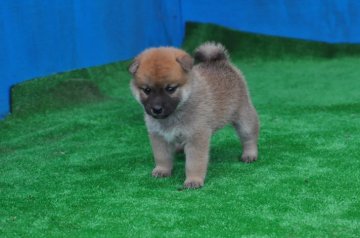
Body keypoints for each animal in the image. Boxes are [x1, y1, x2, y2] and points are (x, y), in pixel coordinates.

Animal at [129, 41, 258, 189]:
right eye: (147, 90)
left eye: (170, 89)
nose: (156, 109)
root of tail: (221, 61)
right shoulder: (159, 137)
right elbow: (162, 157)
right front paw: (162, 170)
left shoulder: (196, 137)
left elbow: (194, 163)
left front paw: (193, 180)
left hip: (243, 115)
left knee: (249, 136)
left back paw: (250, 154)